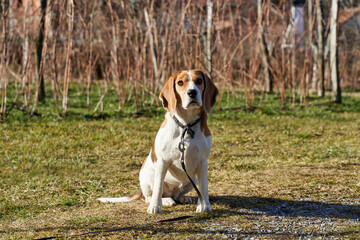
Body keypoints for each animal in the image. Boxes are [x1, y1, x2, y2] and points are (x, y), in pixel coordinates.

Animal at [97, 69, 218, 214]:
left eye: (199, 81)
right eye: (180, 82)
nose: (192, 92)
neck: (186, 125)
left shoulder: (203, 162)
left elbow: (203, 187)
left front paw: (204, 206)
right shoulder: (163, 162)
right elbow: (158, 187)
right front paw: (155, 207)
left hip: (191, 178)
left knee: (177, 194)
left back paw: (182, 198)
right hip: (149, 176)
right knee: (151, 196)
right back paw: (165, 201)